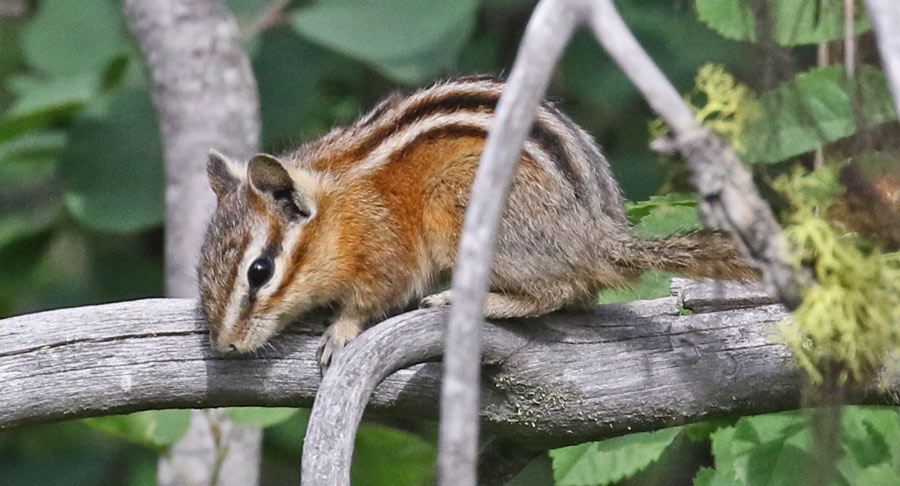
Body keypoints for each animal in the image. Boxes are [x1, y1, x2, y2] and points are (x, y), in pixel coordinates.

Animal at [197, 75, 757, 373]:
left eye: (260, 272)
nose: (224, 346)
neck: (338, 210)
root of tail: (599, 238)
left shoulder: (386, 250)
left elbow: (375, 297)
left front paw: (340, 331)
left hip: (464, 208)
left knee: (559, 289)